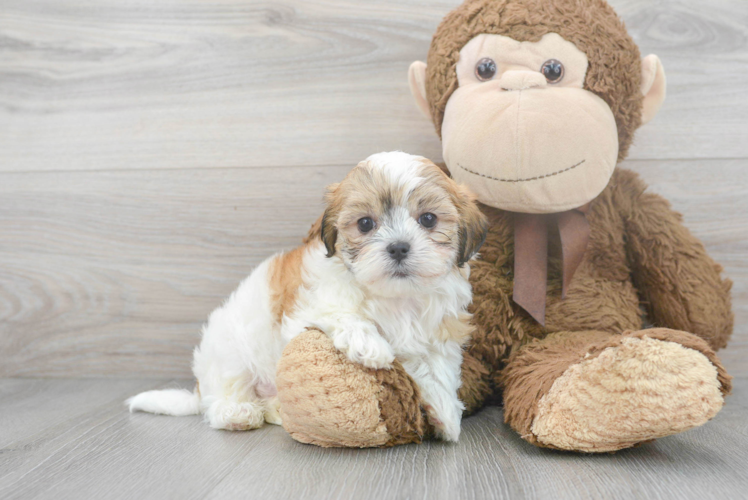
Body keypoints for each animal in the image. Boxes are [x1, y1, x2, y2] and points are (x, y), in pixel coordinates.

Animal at [127, 152, 490, 442]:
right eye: (365, 224)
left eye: (428, 219)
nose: (399, 246)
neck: (396, 298)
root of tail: (200, 387)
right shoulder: (306, 309)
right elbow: (341, 314)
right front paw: (369, 345)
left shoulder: (439, 334)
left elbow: (436, 368)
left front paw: (446, 415)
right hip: (228, 353)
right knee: (222, 395)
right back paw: (238, 413)